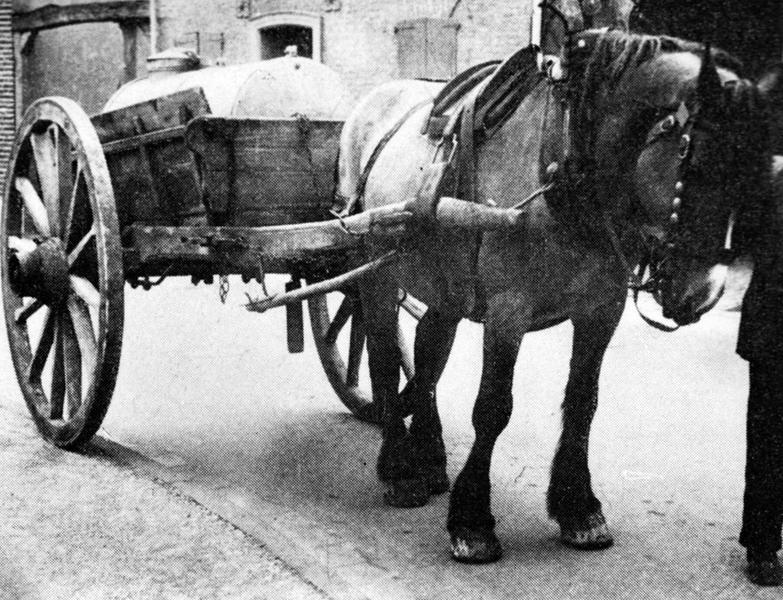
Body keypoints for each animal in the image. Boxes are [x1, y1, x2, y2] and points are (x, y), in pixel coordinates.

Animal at [336, 29, 775, 563]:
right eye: (698, 162)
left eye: (759, 176)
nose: (702, 294)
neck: (566, 168)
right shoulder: (508, 310)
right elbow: (493, 408)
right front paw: (472, 520)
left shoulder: (601, 310)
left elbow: (583, 402)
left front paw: (578, 507)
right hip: (375, 270)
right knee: (381, 352)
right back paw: (399, 468)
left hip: (445, 281)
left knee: (429, 351)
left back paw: (430, 456)